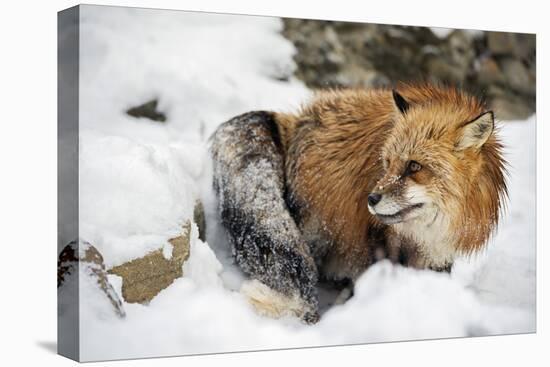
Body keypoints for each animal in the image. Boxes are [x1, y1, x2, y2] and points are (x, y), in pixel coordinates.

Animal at [211, 84, 508, 324]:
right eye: (387, 163)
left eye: (414, 166)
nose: (371, 199)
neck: (422, 235)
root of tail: (296, 118)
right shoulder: (376, 240)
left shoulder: (438, 255)